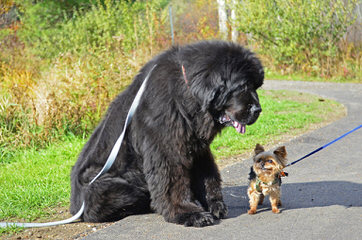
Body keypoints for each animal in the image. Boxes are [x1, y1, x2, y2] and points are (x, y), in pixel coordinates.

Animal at [70, 40, 264, 227]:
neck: (187, 94)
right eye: (243, 86)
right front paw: (189, 213)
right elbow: (171, 182)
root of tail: (75, 206)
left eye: (255, 86)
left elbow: (207, 175)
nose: (258, 110)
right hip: (104, 185)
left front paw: (214, 205)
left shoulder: (197, 147)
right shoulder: (166, 148)